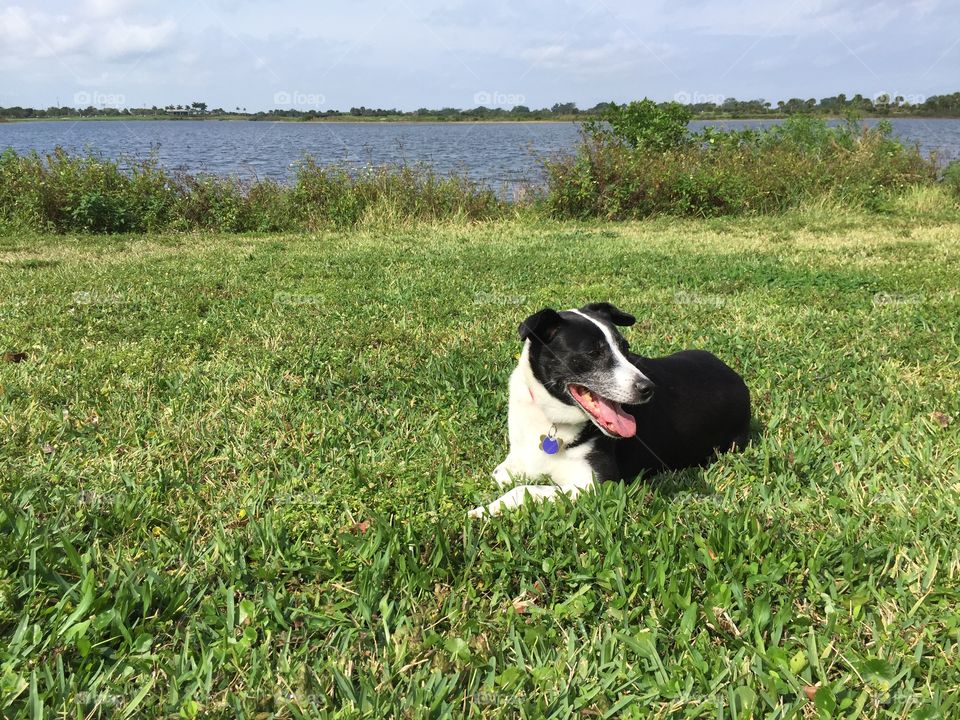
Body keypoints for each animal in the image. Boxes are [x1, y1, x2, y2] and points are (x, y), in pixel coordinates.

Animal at [468, 302, 752, 516]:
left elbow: (525, 489)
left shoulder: (598, 485)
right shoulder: (515, 460)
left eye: (625, 348)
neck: (553, 421)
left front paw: (482, 511)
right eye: (593, 353)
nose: (647, 388)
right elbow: (501, 475)